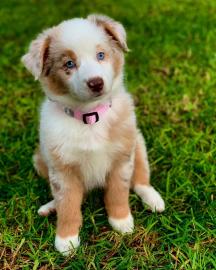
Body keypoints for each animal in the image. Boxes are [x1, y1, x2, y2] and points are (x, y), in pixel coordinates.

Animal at [22, 14, 165, 255]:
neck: (89, 117)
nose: (96, 83)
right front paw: (66, 240)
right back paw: (50, 207)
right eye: (69, 64)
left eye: (101, 55)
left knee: (140, 180)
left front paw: (122, 222)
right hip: (40, 159)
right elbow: (68, 204)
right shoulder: (62, 169)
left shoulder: (122, 159)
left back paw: (153, 199)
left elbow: (118, 192)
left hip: (138, 143)